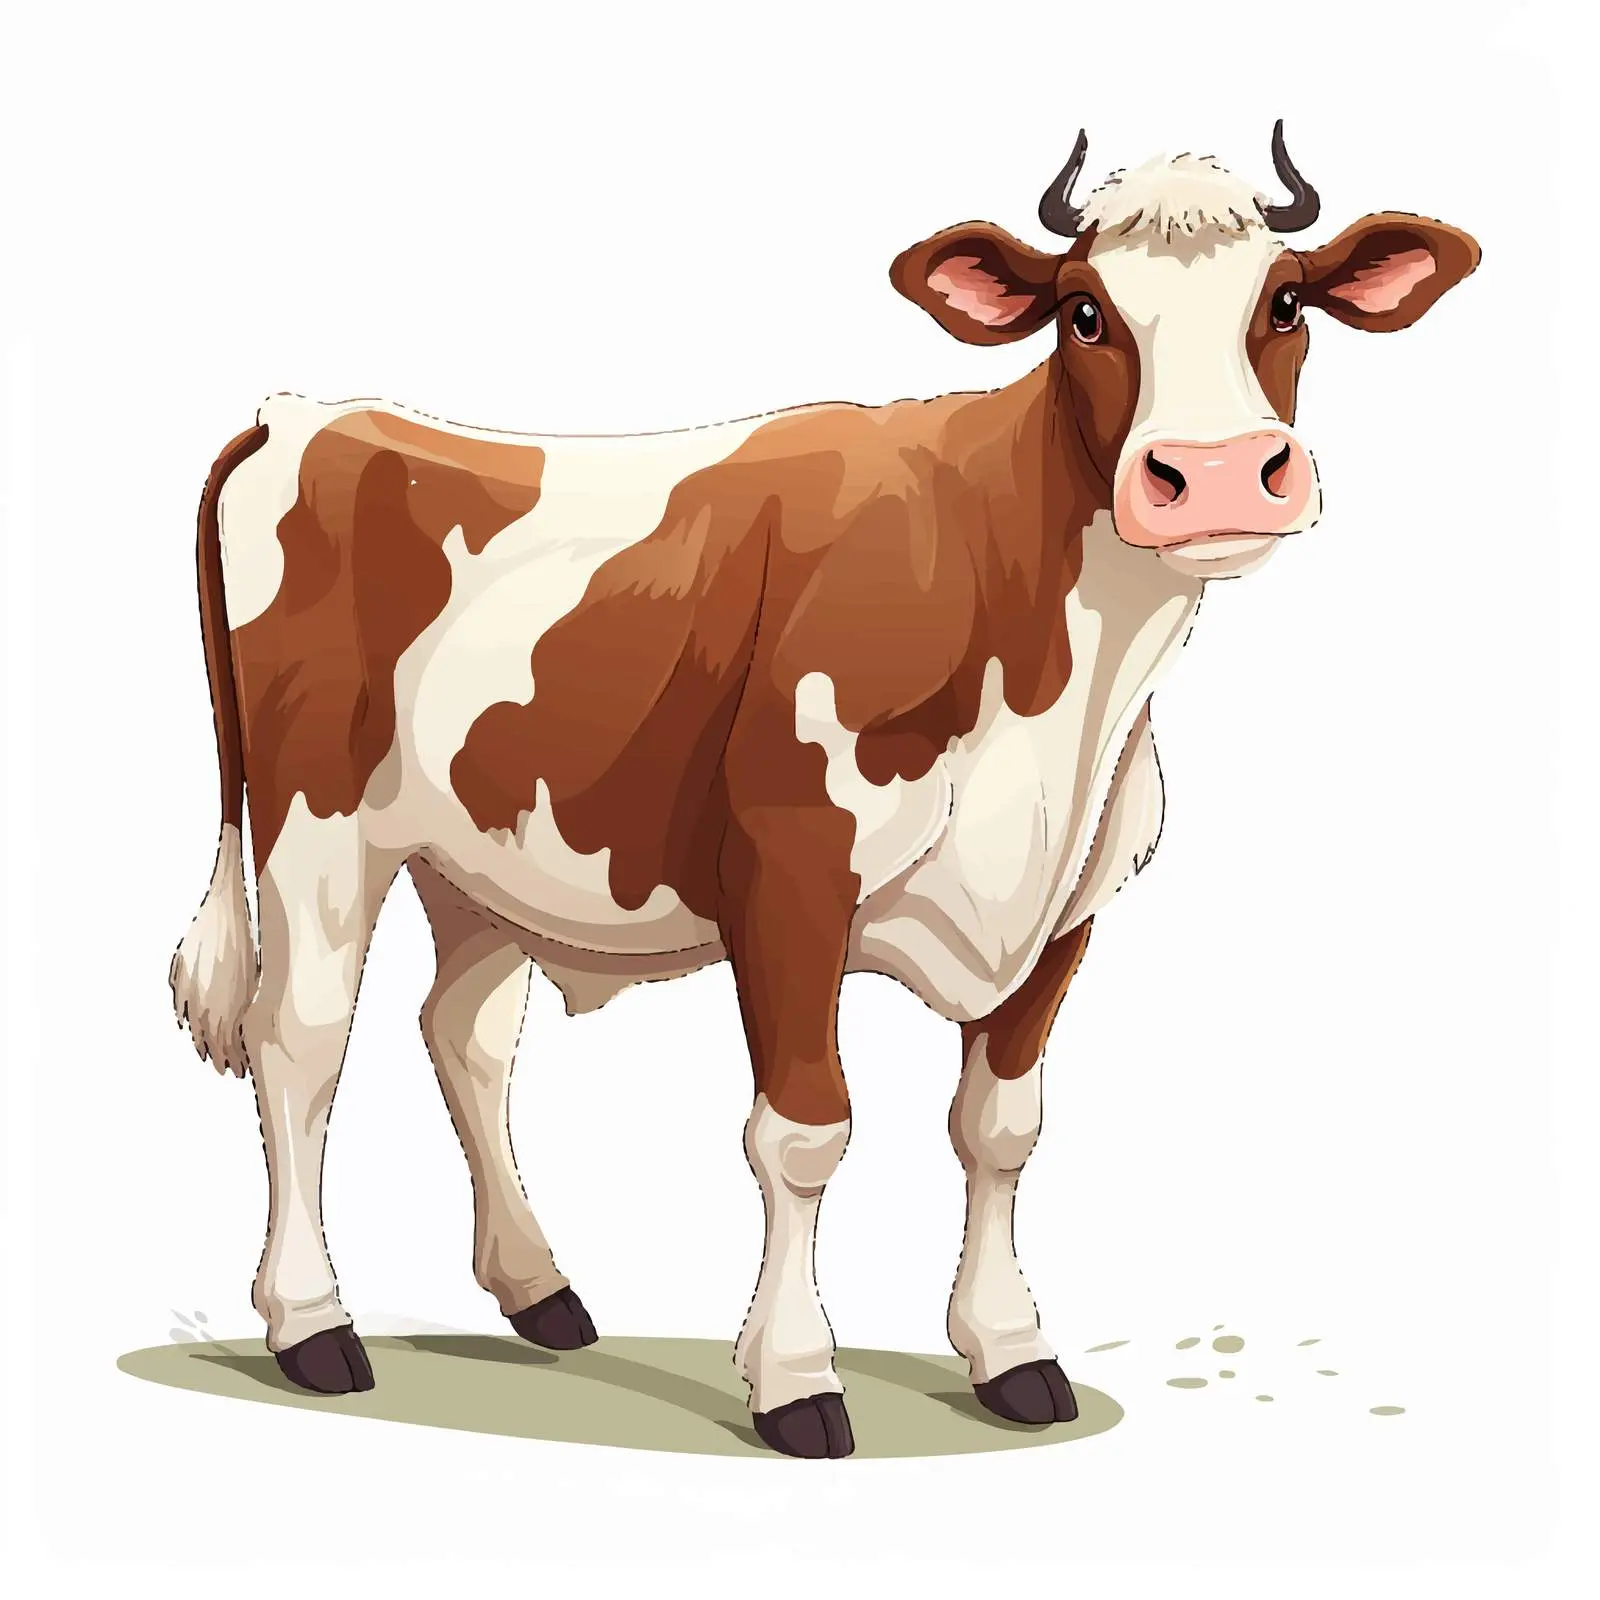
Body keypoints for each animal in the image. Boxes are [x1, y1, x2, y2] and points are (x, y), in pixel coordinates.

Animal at [170, 125, 1478, 1458]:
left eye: (1285, 303)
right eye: (1083, 313)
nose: (1212, 473)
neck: (1060, 698)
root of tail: (303, 416)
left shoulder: (1069, 905)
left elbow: (999, 1125)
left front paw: (1010, 1350)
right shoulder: (787, 875)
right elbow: (804, 1131)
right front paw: (796, 1377)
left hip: (475, 852)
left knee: (465, 1036)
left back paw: (539, 1288)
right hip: (316, 826)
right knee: (300, 1039)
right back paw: (312, 1323)